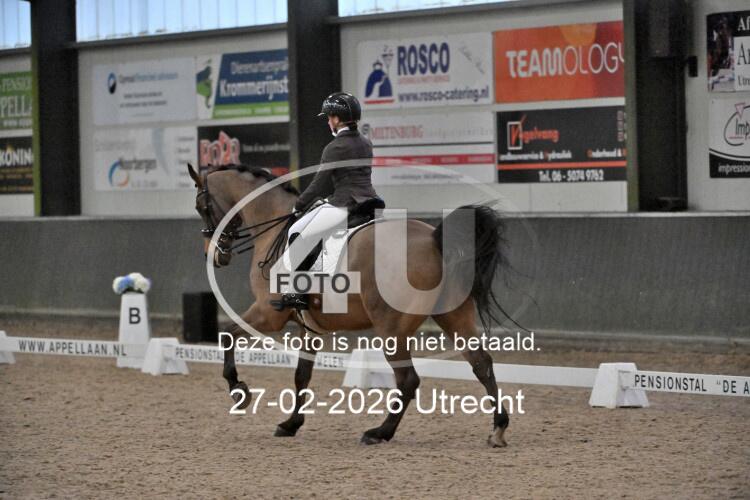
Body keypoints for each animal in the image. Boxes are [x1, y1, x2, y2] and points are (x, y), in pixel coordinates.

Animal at [187, 163, 512, 447]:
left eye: (202, 207)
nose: (213, 256)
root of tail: (433, 239)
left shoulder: (268, 314)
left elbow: (228, 335)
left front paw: (239, 392)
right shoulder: (308, 327)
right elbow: (301, 375)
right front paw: (291, 424)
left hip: (391, 328)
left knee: (408, 380)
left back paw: (379, 432)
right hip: (453, 316)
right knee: (481, 364)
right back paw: (498, 428)